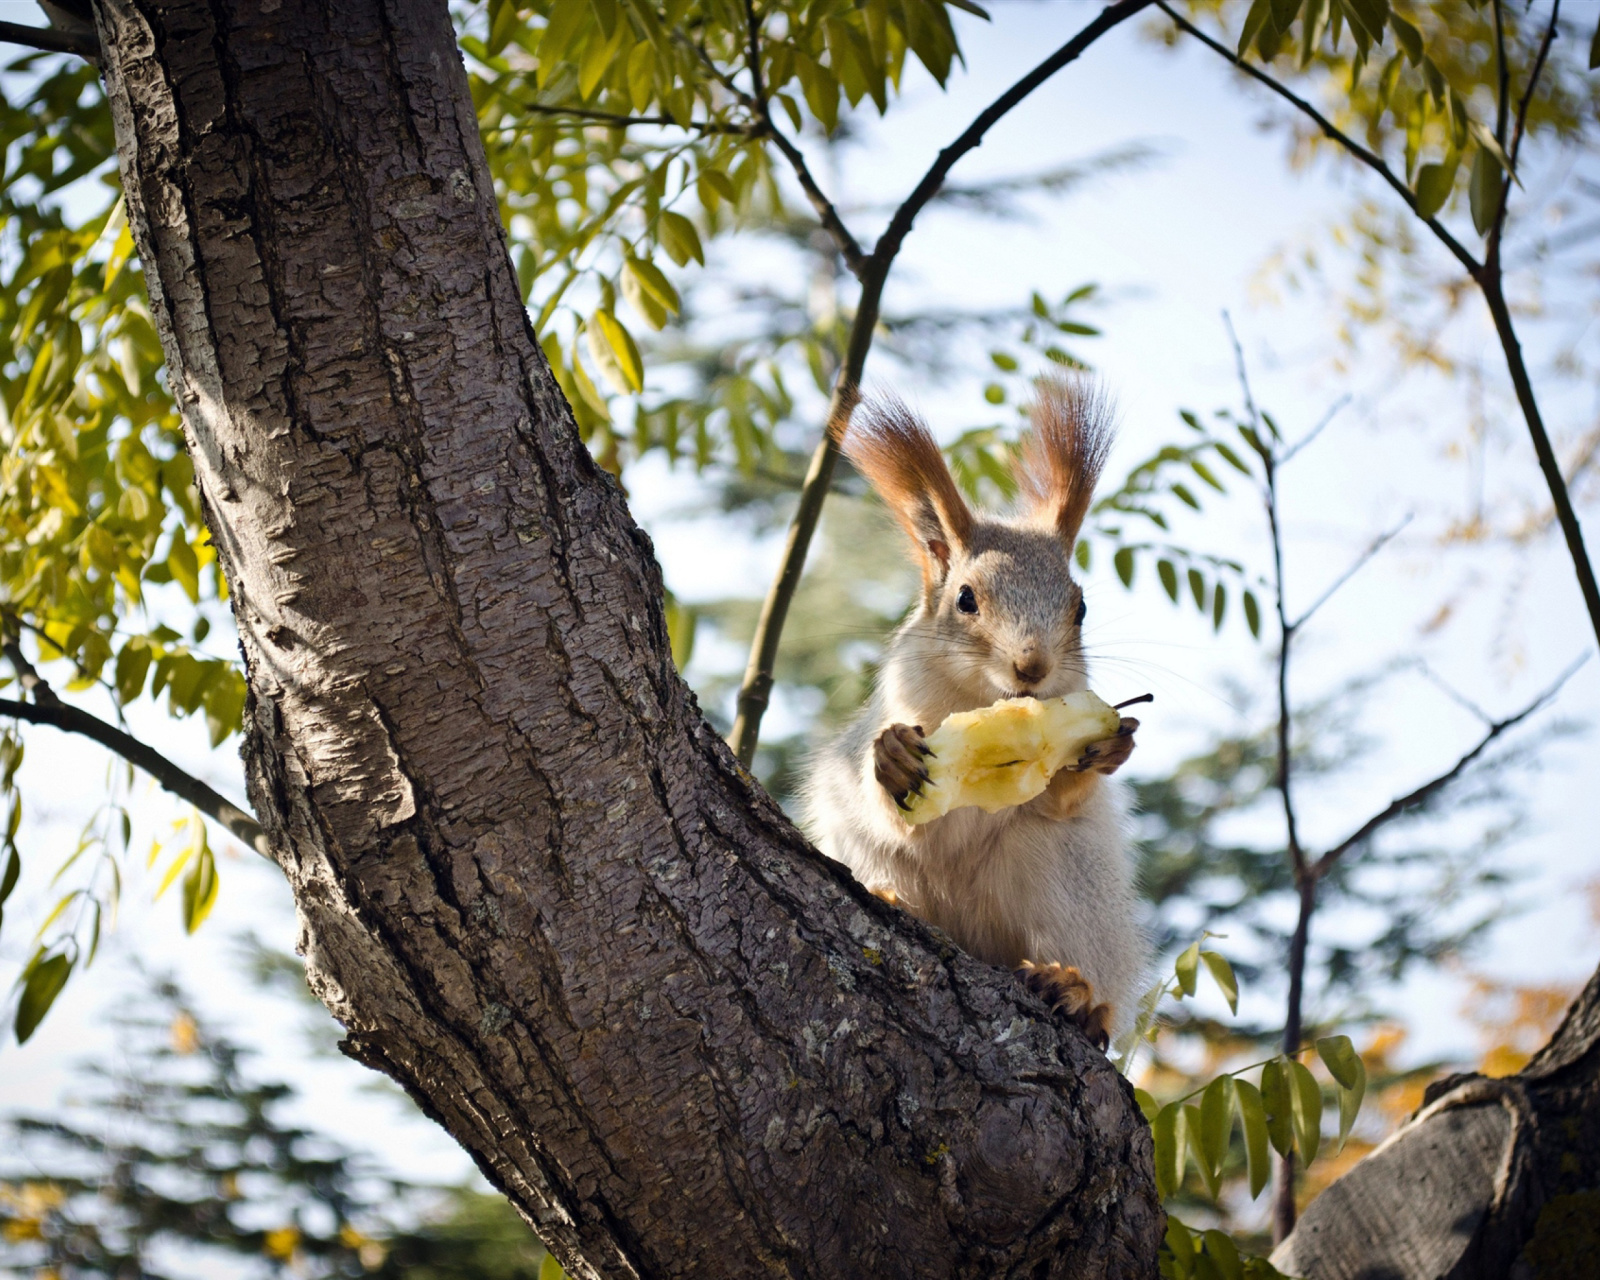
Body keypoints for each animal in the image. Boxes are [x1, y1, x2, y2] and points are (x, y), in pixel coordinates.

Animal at [806, 380, 1145, 1049]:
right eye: (965, 599)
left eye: (1081, 608)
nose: (1032, 667)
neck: (982, 701)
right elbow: (898, 811)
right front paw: (893, 759)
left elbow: (1059, 799)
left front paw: (1109, 750)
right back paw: (893, 898)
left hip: (1066, 878)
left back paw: (1075, 992)